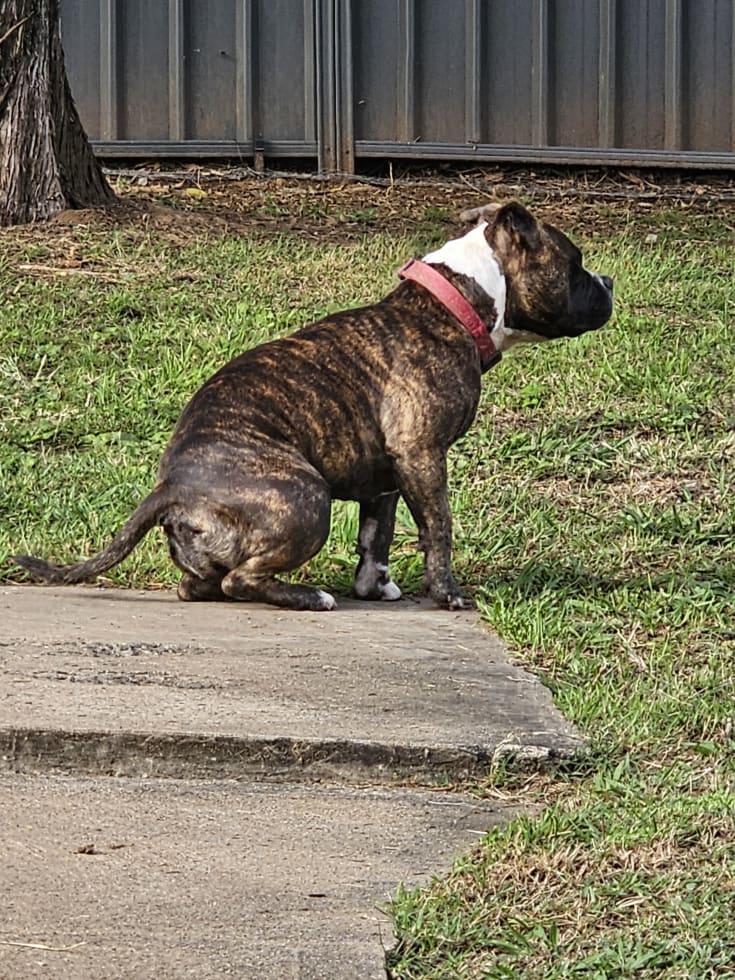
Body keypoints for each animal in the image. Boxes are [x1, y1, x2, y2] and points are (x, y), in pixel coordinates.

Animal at [15, 202, 616, 608]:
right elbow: (438, 527)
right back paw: (308, 596)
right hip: (306, 498)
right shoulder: (422, 454)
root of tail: (173, 487)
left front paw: (375, 586)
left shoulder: (386, 477)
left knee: (201, 585)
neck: (453, 305)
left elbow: (377, 535)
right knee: (240, 579)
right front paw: (447, 592)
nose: (609, 280)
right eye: (576, 264)